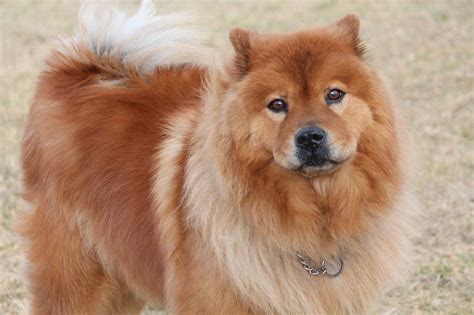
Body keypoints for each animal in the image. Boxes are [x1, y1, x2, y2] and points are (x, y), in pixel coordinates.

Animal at [20, 1, 416, 314]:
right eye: (278, 105)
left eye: (334, 95)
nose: (310, 137)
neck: (314, 216)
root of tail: (81, 71)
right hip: (76, 276)